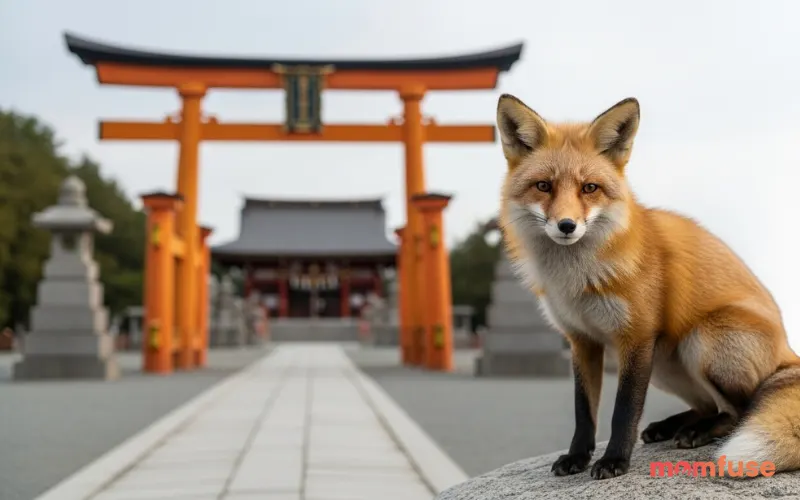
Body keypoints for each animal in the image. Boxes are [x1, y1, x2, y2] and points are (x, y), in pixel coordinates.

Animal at [495, 94, 800, 480]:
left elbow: (624, 409)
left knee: (741, 410)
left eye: (589, 188)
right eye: (544, 186)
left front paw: (614, 460)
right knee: (707, 404)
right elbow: (584, 411)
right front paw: (577, 456)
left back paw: (698, 432)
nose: (566, 225)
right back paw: (672, 425)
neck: (578, 280)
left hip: (701, 341)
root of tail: (788, 351)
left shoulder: (637, 336)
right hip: (667, 366)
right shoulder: (582, 341)